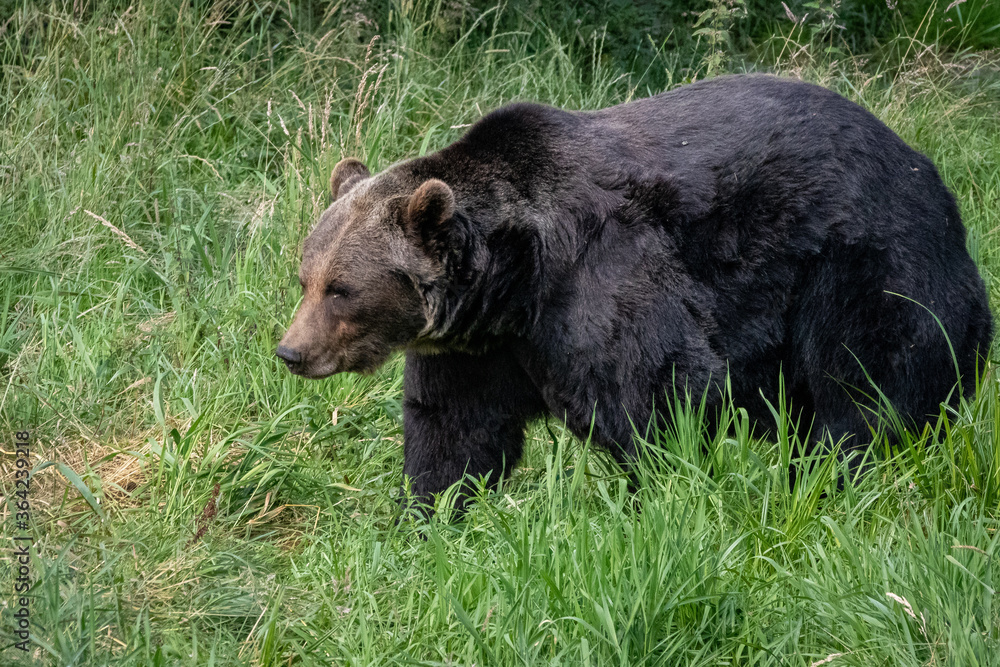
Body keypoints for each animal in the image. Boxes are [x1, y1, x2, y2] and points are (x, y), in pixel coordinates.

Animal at [277, 73, 993, 507]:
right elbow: (454, 432)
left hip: (862, 264)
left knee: (867, 385)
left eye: (342, 289)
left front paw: (656, 498)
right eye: (305, 277)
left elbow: (656, 387)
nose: (291, 351)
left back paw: (827, 476)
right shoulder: (476, 350)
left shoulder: (599, 277)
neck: (514, 282)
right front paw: (433, 512)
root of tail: (933, 181)